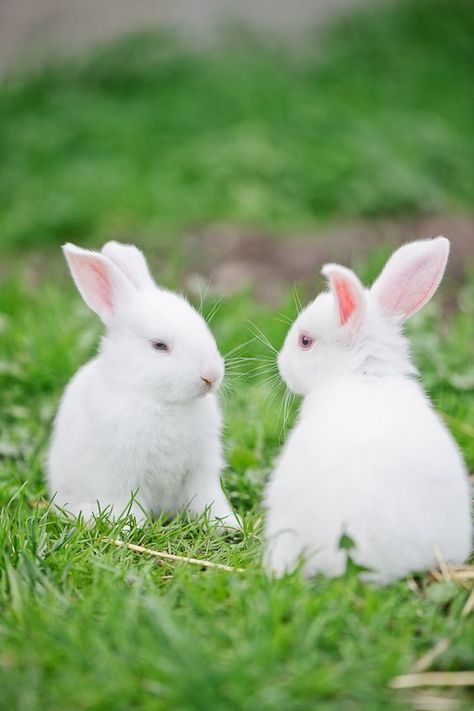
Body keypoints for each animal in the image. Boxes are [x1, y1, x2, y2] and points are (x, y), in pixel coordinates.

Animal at [48, 242, 237, 524]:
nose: (211, 376)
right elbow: (126, 506)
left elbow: (208, 499)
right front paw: (129, 528)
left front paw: (228, 524)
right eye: (159, 346)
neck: (160, 401)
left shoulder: (201, 471)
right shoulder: (121, 477)